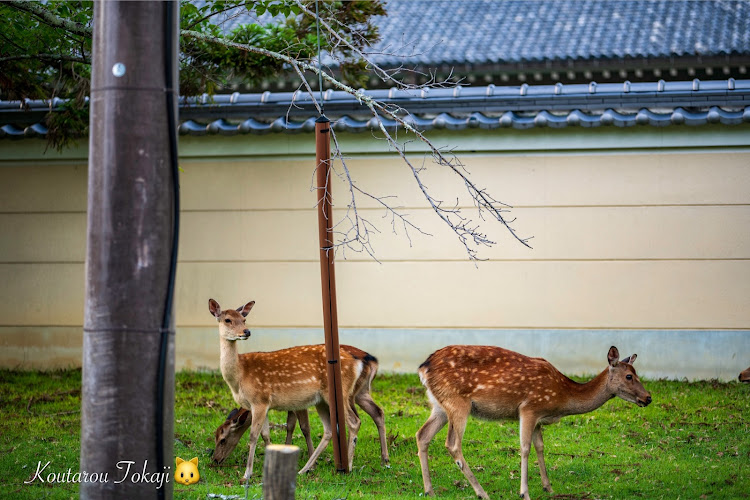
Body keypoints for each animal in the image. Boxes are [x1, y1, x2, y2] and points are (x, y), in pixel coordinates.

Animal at [209, 298, 368, 478]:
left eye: (244, 319)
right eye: (228, 320)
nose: (215, 459)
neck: (239, 378)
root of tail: (356, 362)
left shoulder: (259, 400)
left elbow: (253, 436)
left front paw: (247, 474)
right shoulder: (263, 404)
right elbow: (265, 434)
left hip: (339, 392)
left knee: (354, 421)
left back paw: (348, 466)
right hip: (321, 400)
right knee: (328, 429)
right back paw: (304, 469)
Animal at [210, 346, 388, 466]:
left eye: (223, 439)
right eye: (216, 436)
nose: (215, 459)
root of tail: (372, 360)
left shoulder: (299, 403)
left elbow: (303, 427)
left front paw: (310, 457)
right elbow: (289, 425)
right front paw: (287, 448)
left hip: (347, 395)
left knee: (356, 419)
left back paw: (349, 463)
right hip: (361, 392)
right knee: (377, 412)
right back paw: (384, 458)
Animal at [418, 346, 652, 498]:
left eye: (636, 373)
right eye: (629, 376)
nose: (648, 397)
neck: (561, 398)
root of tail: (423, 368)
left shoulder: (539, 417)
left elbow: (540, 446)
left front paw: (548, 487)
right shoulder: (529, 407)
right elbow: (525, 447)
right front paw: (524, 492)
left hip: (439, 405)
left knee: (422, 435)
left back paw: (429, 490)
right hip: (458, 402)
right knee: (453, 444)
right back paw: (481, 493)